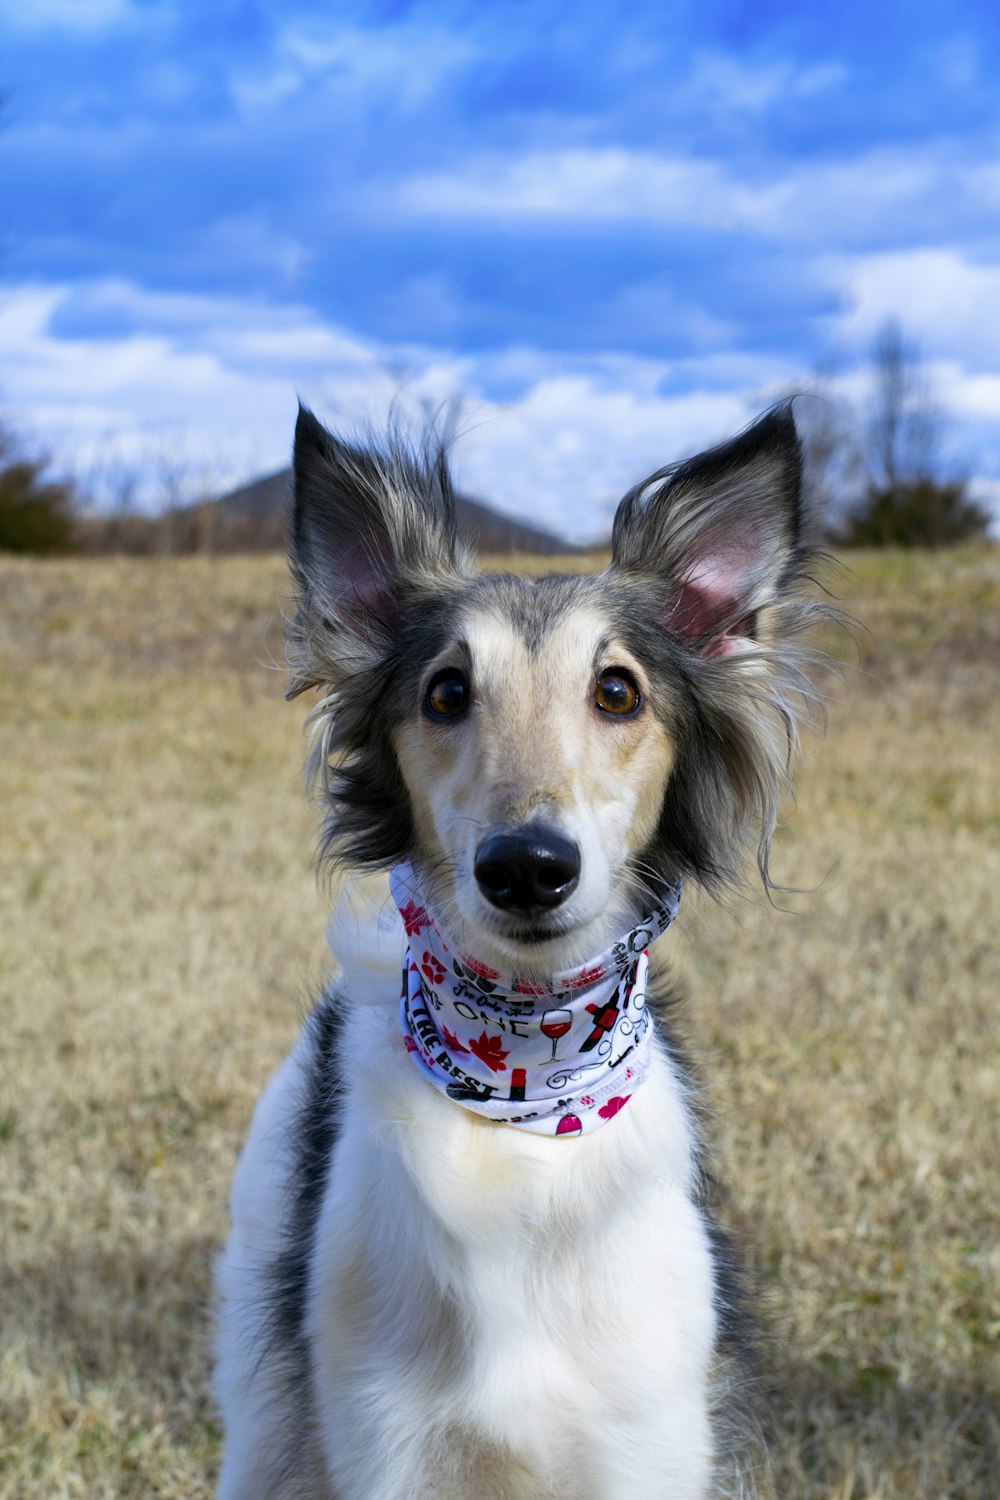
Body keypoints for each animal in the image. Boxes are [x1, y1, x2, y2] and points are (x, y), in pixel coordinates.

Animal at [212, 402, 827, 1500]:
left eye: (617, 691)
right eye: (446, 692)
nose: (528, 868)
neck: (527, 1109)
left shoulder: (642, 1445)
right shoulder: (389, 1448)